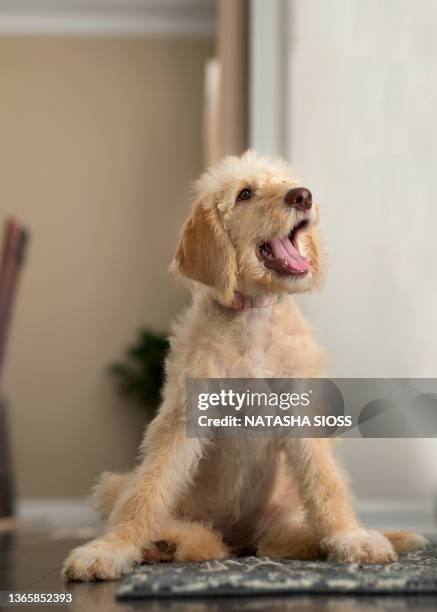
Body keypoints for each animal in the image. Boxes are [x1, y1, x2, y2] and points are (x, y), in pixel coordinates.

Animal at [63, 151, 428, 580]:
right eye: (245, 194)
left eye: (286, 182)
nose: (303, 196)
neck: (252, 318)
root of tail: (240, 539)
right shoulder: (184, 415)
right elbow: (148, 490)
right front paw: (110, 549)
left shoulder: (301, 413)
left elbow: (326, 482)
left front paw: (351, 538)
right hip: (118, 486)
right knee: (193, 534)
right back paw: (166, 543)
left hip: (283, 506)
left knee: (284, 537)